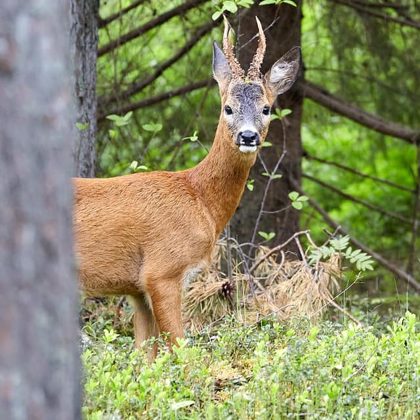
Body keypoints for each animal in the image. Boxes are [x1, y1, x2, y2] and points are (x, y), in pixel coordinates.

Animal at [74, 17, 298, 358]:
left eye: (266, 108)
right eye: (228, 107)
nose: (248, 136)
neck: (199, 199)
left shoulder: (136, 289)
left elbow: (145, 359)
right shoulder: (162, 270)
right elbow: (182, 352)